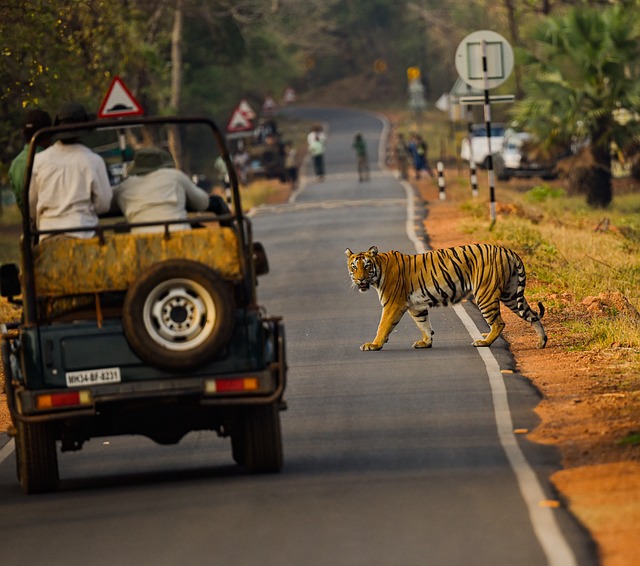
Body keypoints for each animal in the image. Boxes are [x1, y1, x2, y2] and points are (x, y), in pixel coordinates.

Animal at [345, 244, 547, 351]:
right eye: (354, 267)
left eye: (366, 266)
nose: (359, 279)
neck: (379, 270)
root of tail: (507, 250)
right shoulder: (417, 307)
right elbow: (424, 325)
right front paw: (426, 342)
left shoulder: (393, 305)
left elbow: (383, 326)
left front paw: (374, 344)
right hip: (511, 294)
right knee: (532, 315)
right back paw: (541, 342)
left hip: (485, 294)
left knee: (499, 323)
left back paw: (483, 342)